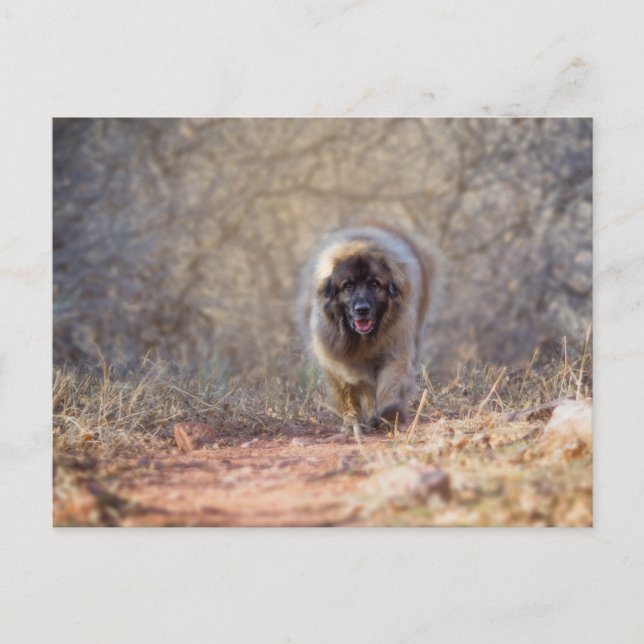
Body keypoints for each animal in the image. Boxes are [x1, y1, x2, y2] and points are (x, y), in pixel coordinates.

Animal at [299, 223, 434, 437]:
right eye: (348, 285)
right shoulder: (338, 357)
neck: (364, 340)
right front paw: (352, 423)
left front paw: (390, 416)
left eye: (374, 283)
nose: (361, 309)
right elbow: (349, 392)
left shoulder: (395, 348)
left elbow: (389, 382)